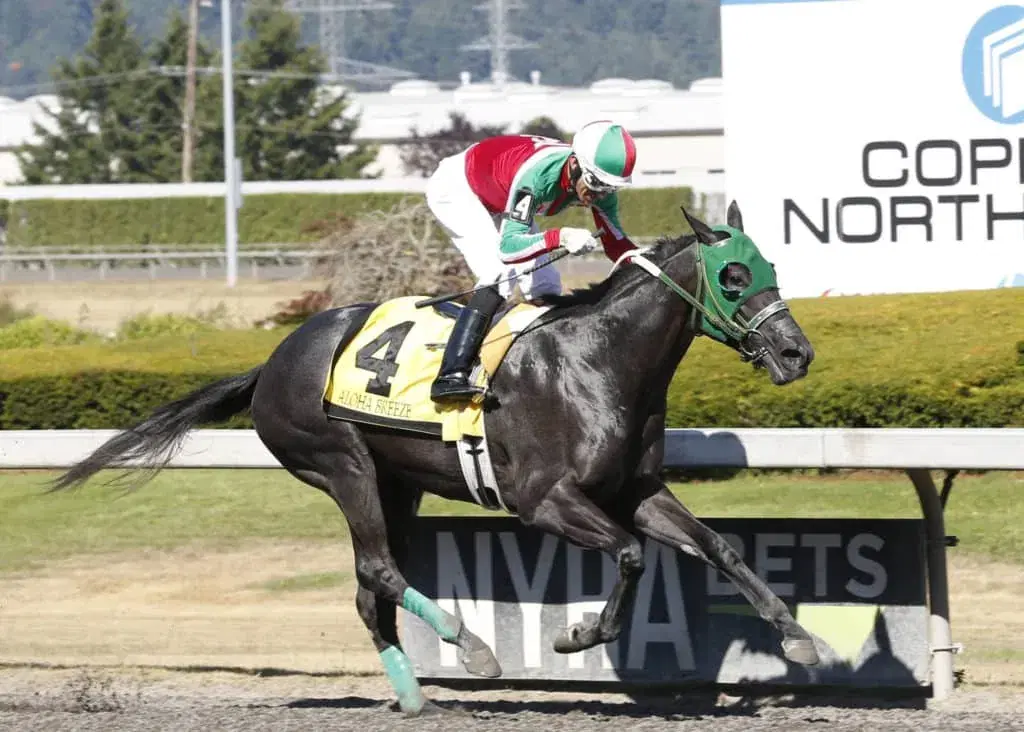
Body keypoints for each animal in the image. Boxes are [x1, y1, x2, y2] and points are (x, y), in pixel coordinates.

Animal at [52, 201, 819, 715]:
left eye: (772, 266)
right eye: (733, 273)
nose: (796, 353)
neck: (598, 361)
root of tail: (272, 362)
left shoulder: (635, 489)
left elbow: (719, 547)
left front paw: (796, 636)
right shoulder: (544, 500)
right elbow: (630, 554)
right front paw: (578, 635)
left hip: (398, 484)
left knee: (369, 589)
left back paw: (415, 695)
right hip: (342, 465)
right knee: (379, 569)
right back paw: (469, 645)